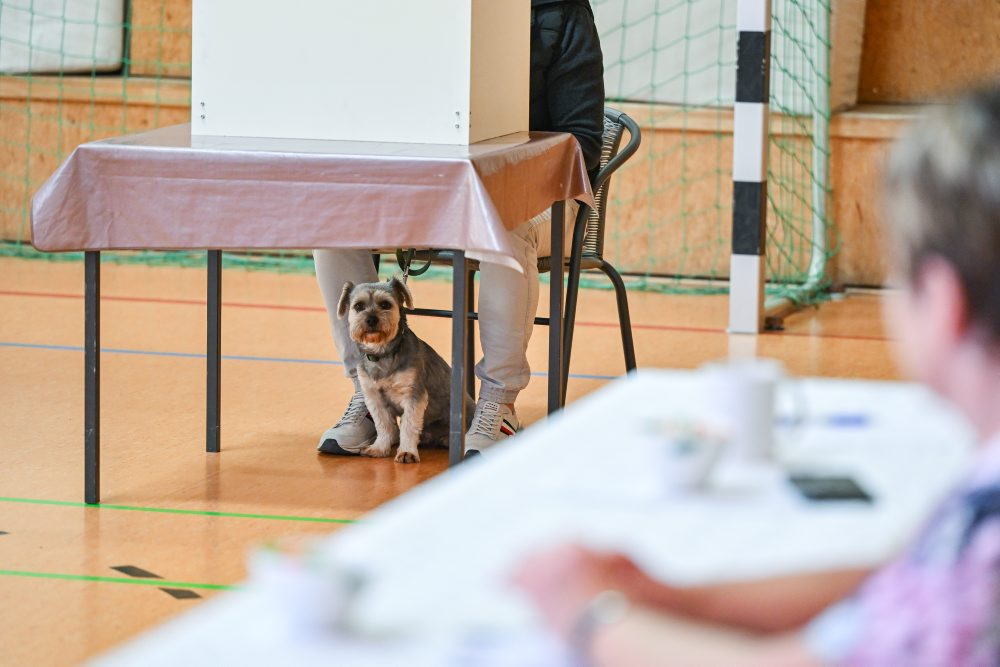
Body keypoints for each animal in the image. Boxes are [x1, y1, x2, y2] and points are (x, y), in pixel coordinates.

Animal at [338, 276, 474, 464]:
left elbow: (408, 426)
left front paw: (407, 452)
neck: (383, 353)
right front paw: (380, 448)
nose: (371, 319)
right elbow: (384, 424)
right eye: (358, 306)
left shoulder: (413, 395)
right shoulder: (374, 397)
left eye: (385, 304)